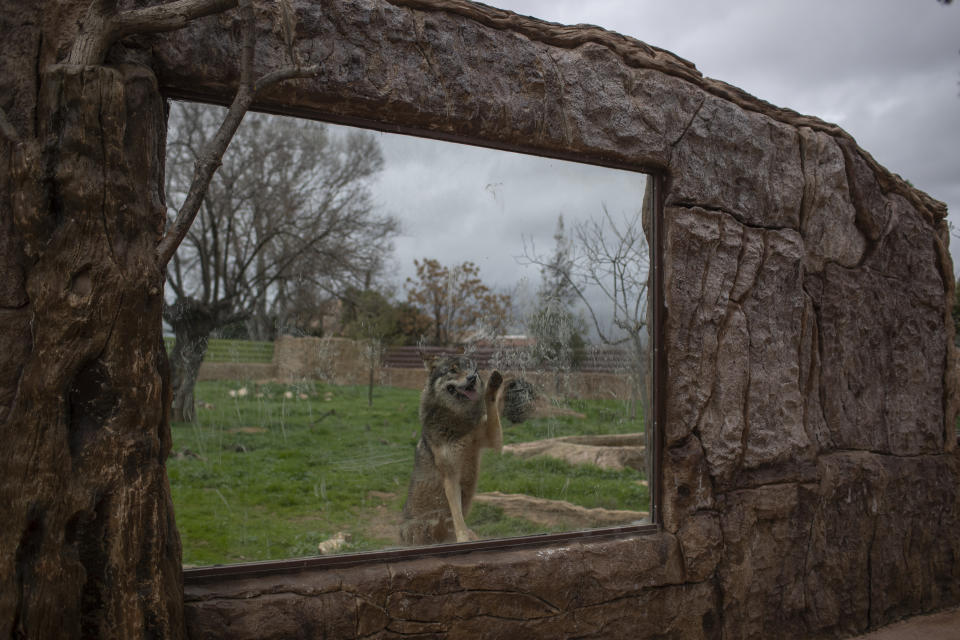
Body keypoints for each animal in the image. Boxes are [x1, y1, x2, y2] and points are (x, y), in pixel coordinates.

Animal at [400, 356, 506, 544]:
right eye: (453, 370)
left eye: (472, 369)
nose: (472, 378)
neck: (458, 419)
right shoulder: (451, 478)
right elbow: (457, 516)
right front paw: (463, 539)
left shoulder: (493, 440)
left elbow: (491, 404)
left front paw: (493, 384)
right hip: (418, 528)